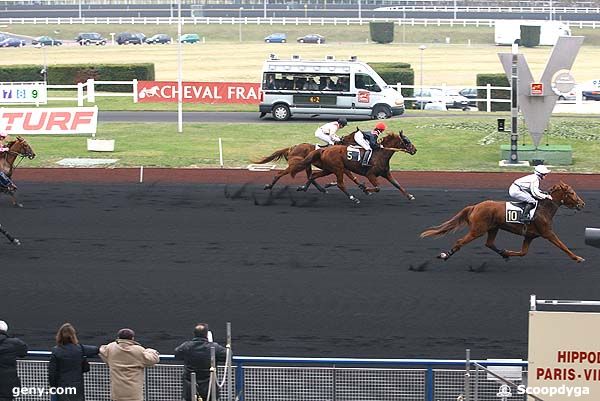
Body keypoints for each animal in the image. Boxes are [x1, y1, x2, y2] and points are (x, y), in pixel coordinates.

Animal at [290, 131, 418, 203]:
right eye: (406, 141)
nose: (415, 150)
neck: (381, 154)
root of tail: (324, 150)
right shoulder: (370, 174)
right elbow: (377, 188)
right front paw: (365, 188)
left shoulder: (386, 173)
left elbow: (397, 184)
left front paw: (410, 196)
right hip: (338, 169)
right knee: (340, 184)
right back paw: (353, 198)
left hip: (329, 169)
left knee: (313, 175)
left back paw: (304, 188)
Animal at [422, 181, 584, 262]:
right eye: (571, 193)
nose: (582, 204)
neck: (543, 208)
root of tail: (475, 206)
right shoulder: (548, 233)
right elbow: (563, 246)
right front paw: (577, 258)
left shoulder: (529, 236)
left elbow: (523, 252)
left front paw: (507, 252)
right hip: (477, 230)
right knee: (460, 242)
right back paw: (445, 255)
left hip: (493, 228)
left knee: (489, 243)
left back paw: (503, 253)